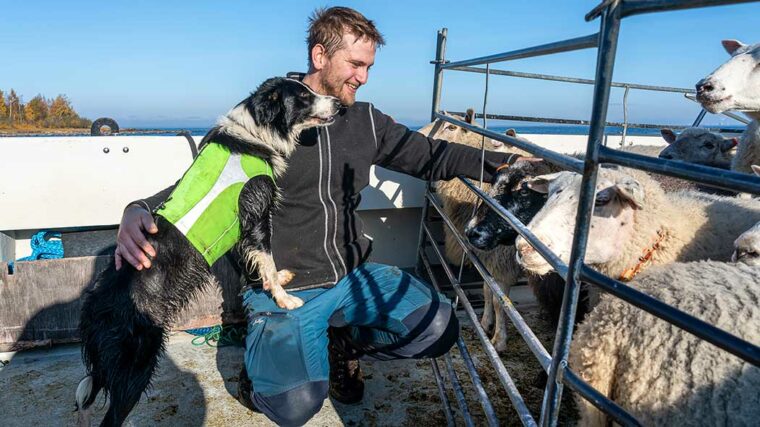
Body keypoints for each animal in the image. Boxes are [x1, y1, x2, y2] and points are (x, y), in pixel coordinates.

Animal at [75, 77, 342, 427]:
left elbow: (254, 263)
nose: (340, 104)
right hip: (136, 359)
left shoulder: (240, 228)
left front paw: (271, 283)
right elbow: (266, 259)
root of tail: (90, 318)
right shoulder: (256, 216)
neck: (255, 132)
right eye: (303, 96)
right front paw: (284, 298)